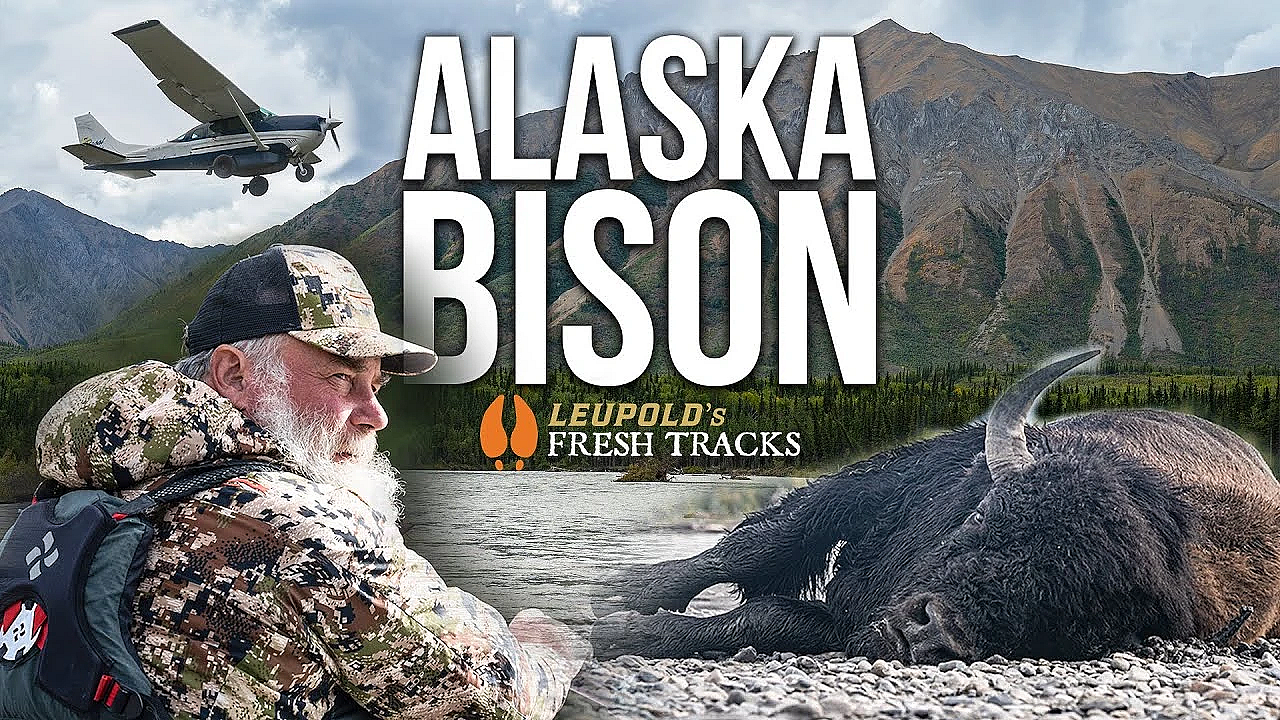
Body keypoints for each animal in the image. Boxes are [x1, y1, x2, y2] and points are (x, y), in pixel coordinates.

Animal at [592, 350, 1280, 663]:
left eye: (1079, 616)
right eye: (984, 517)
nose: (927, 628)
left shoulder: (842, 625)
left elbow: (765, 619)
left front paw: (629, 631)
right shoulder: (866, 490)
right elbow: (750, 547)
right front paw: (622, 597)